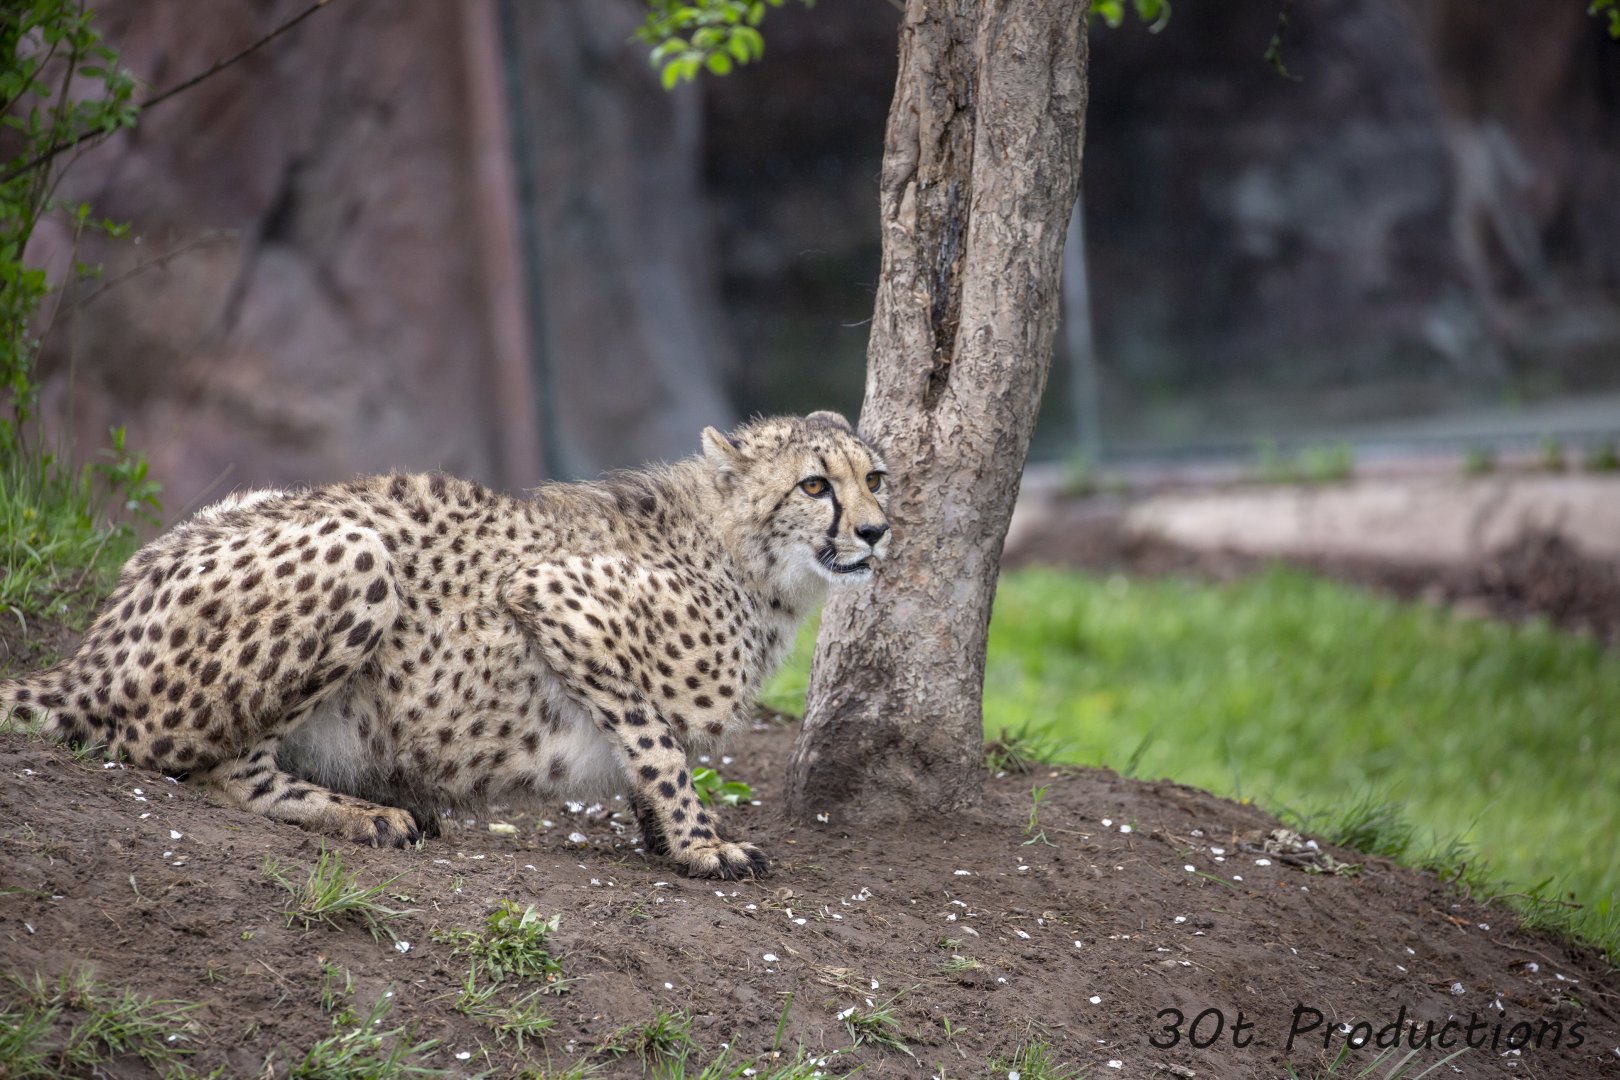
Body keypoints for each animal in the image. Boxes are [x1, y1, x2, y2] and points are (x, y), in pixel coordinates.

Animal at [0, 411, 891, 880]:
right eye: (815, 485)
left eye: (874, 478)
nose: (878, 532)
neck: (748, 559)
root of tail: (97, 642)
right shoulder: (553, 598)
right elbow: (660, 746)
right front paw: (702, 844)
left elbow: (649, 751)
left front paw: (667, 839)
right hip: (355, 550)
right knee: (198, 764)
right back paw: (363, 813)